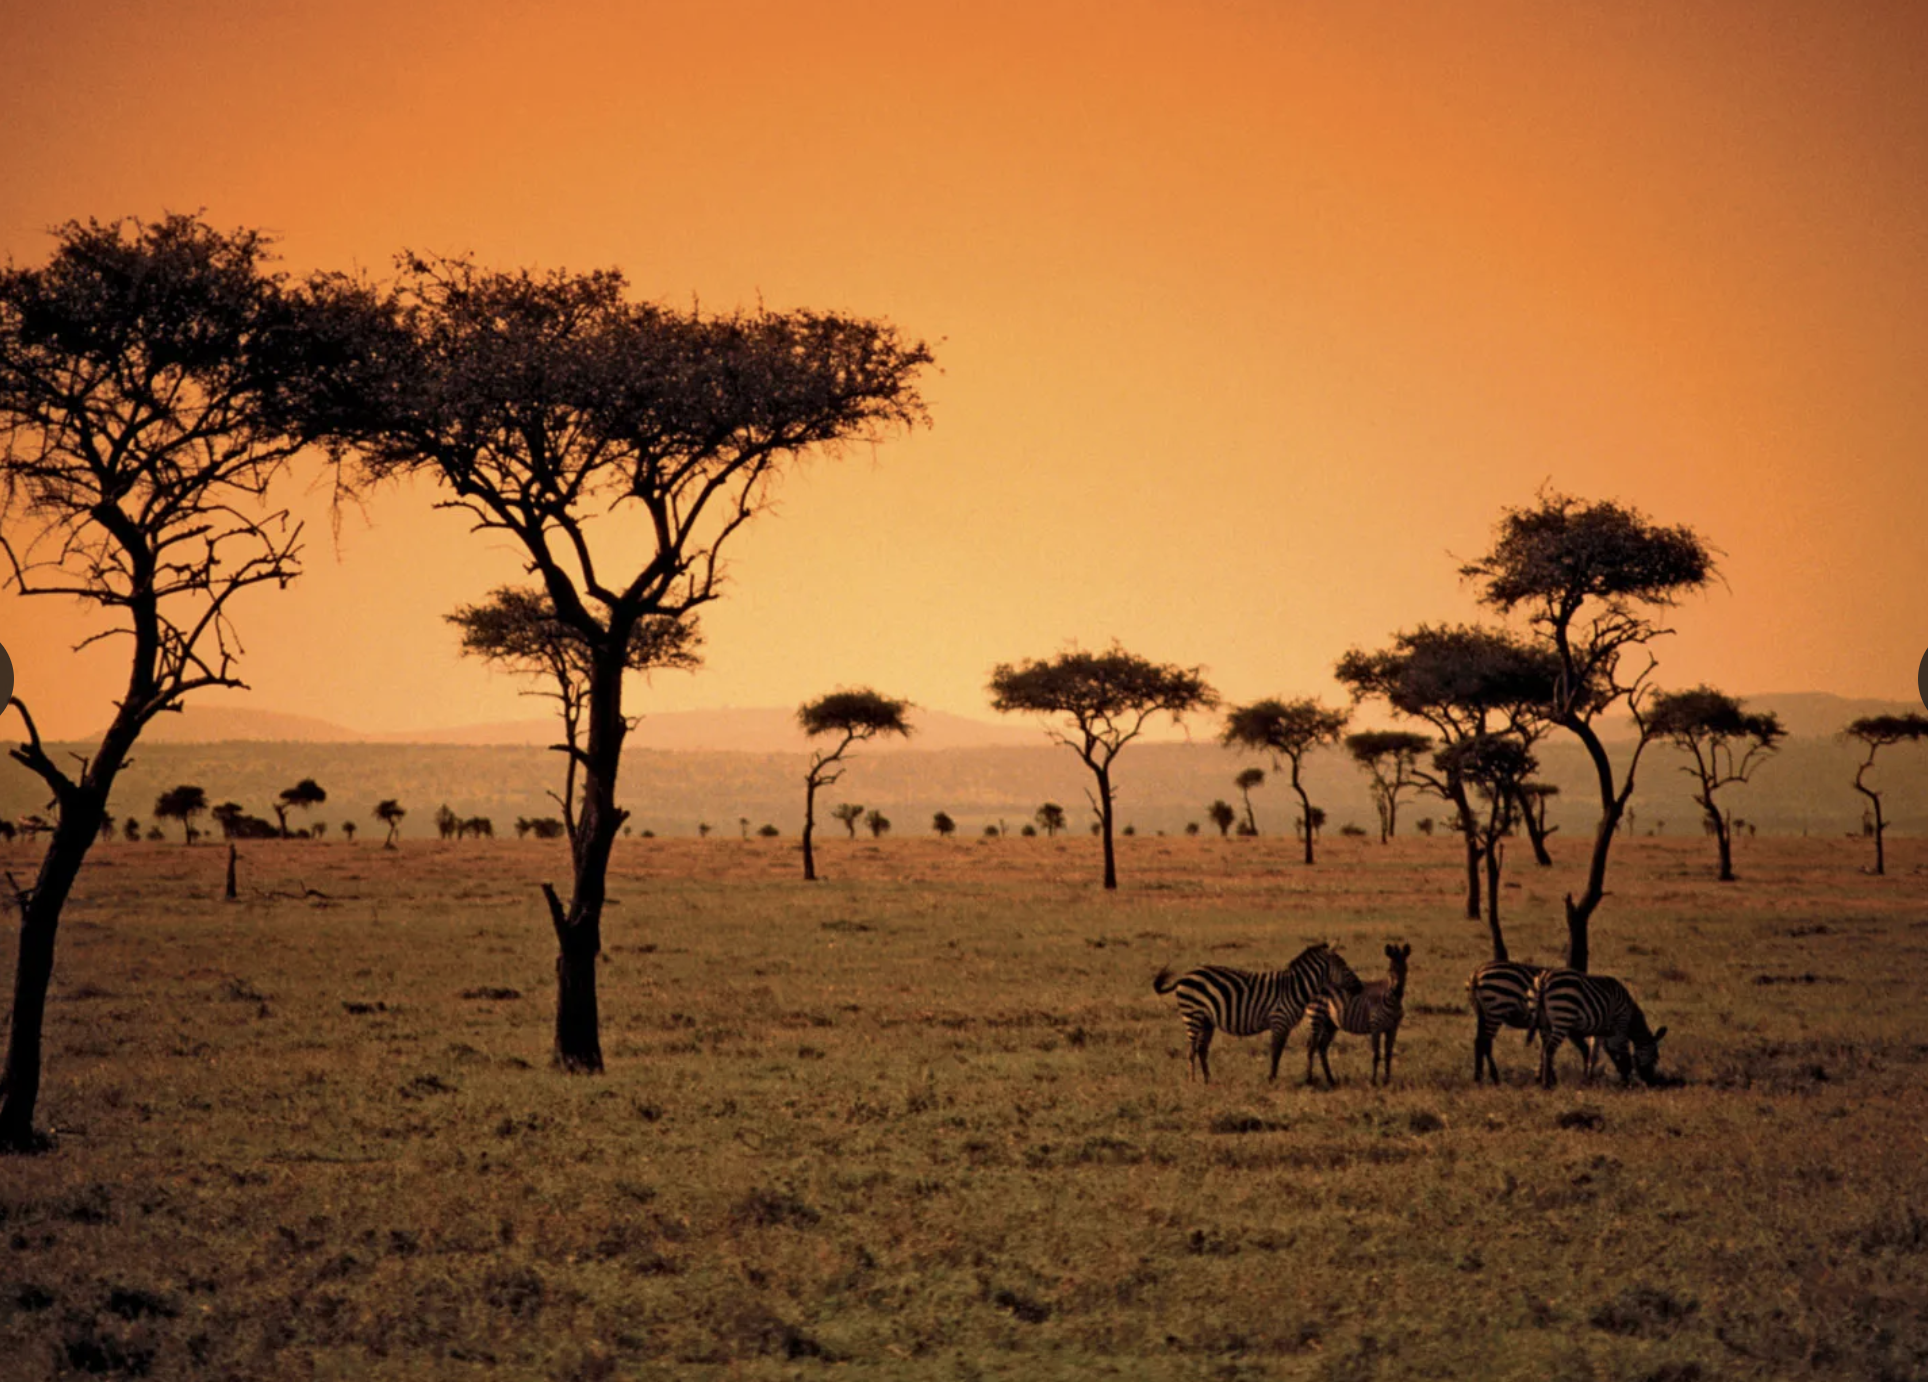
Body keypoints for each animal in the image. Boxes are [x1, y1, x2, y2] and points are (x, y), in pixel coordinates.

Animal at [1149, 944, 1365, 1087]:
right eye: (1345, 967)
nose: (1361, 987)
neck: (1295, 988)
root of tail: (1184, 976)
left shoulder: (1285, 1026)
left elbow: (1279, 1051)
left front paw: (1273, 1077)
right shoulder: (1279, 1021)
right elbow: (1275, 1051)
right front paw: (1271, 1079)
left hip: (1206, 1021)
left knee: (1202, 1049)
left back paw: (1207, 1080)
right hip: (1192, 1015)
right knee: (1191, 1050)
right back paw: (1192, 1080)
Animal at [1303, 944, 1411, 1087]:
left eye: (1406, 969)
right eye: (1390, 970)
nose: (1397, 992)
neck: (1391, 1000)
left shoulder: (1393, 1029)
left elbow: (1388, 1054)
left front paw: (1386, 1081)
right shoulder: (1375, 1027)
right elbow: (1376, 1055)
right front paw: (1373, 1081)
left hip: (1330, 1023)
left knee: (1321, 1047)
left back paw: (1331, 1080)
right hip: (1316, 1016)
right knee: (1311, 1047)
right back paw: (1309, 1080)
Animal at [1526, 971, 1665, 1087]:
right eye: (1655, 1058)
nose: (1651, 1082)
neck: (1630, 1015)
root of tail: (1544, 978)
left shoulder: (1602, 1031)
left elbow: (1598, 1052)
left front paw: (1589, 1078)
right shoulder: (1620, 1024)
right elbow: (1621, 1053)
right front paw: (1625, 1081)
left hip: (1543, 1022)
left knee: (1544, 1049)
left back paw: (1546, 1079)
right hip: (1563, 1016)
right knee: (1549, 1049)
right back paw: (1546, 1084)